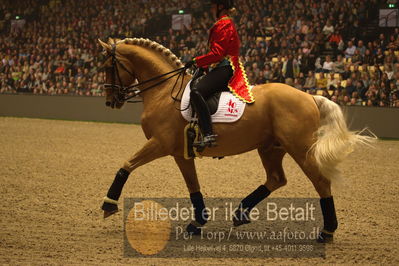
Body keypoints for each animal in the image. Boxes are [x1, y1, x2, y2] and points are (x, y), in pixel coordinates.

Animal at [98, 38, 374, 243]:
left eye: (108, 66)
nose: (111, 101)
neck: (165, 92)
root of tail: (309, 96)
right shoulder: (180, 153)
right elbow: (193, 186)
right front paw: (197, 222)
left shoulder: (159, 143)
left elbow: (126, 165)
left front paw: (109, 204)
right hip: (271, 148)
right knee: (276, 179)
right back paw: (241, 212)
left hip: (300, 148)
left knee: (320, 181)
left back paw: (326, 232)